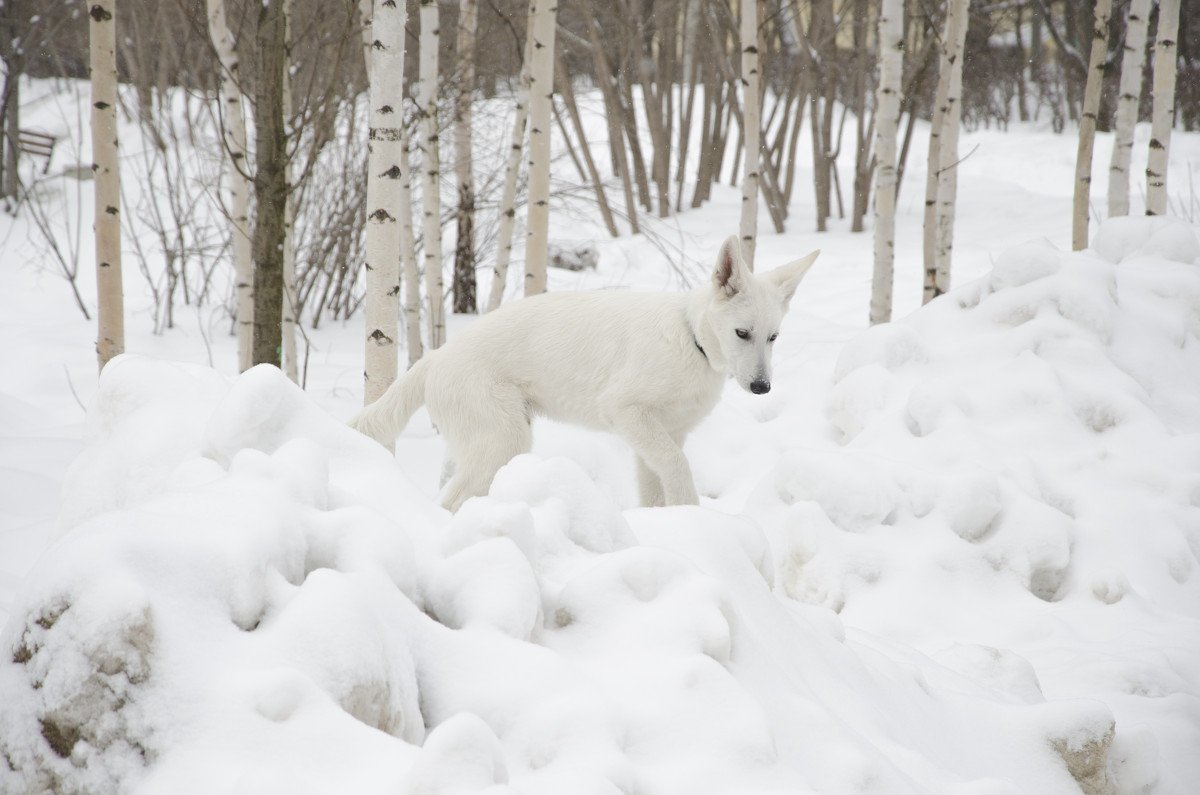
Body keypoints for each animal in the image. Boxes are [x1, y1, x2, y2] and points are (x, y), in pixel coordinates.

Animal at [348, 235, 816, 511]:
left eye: (773, 337)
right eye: (742, 333)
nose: (761, 387)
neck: (692, 341)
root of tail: (437, 356)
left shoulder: (659, 438)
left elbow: (655, 490)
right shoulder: (628, 413)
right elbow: (679, 469)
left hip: (484, 443)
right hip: (505, 441)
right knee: (451, 501)